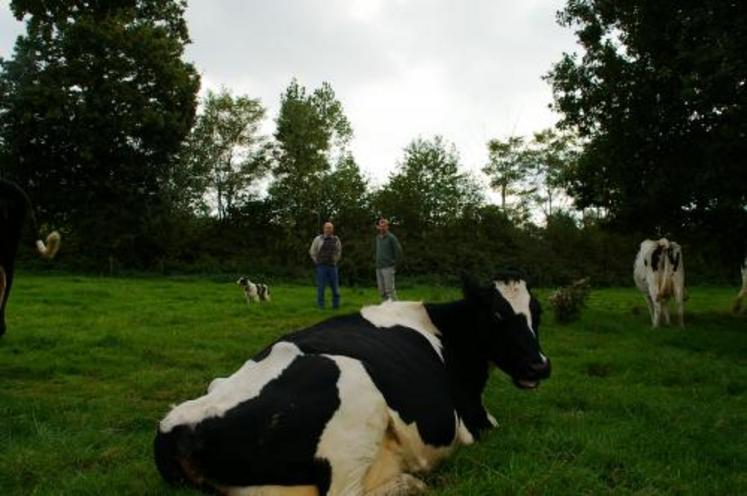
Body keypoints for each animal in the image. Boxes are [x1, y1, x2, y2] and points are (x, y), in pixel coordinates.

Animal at [153, 274, 548, 494]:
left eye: (538, 313)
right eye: (496, 315)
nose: (539, 366)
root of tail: (178, 425)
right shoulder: (475, 421)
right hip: (357, 411)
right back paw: (412, 484)